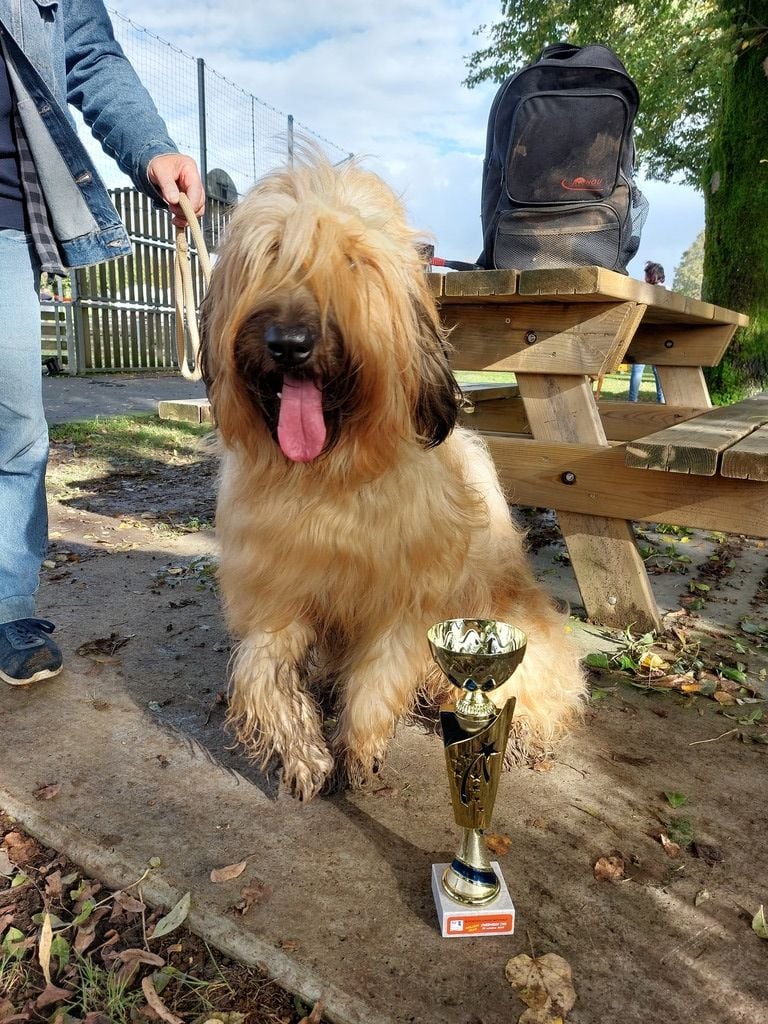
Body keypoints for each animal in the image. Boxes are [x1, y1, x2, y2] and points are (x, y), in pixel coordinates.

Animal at [201, 155, 585, 802]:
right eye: (273, 253)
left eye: (353, 262)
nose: (288, 344)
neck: (330, 478)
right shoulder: (276, 591)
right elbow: (262, 670)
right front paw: (303, 750)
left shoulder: (403, 603)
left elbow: (378, 673)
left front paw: (355, 748)